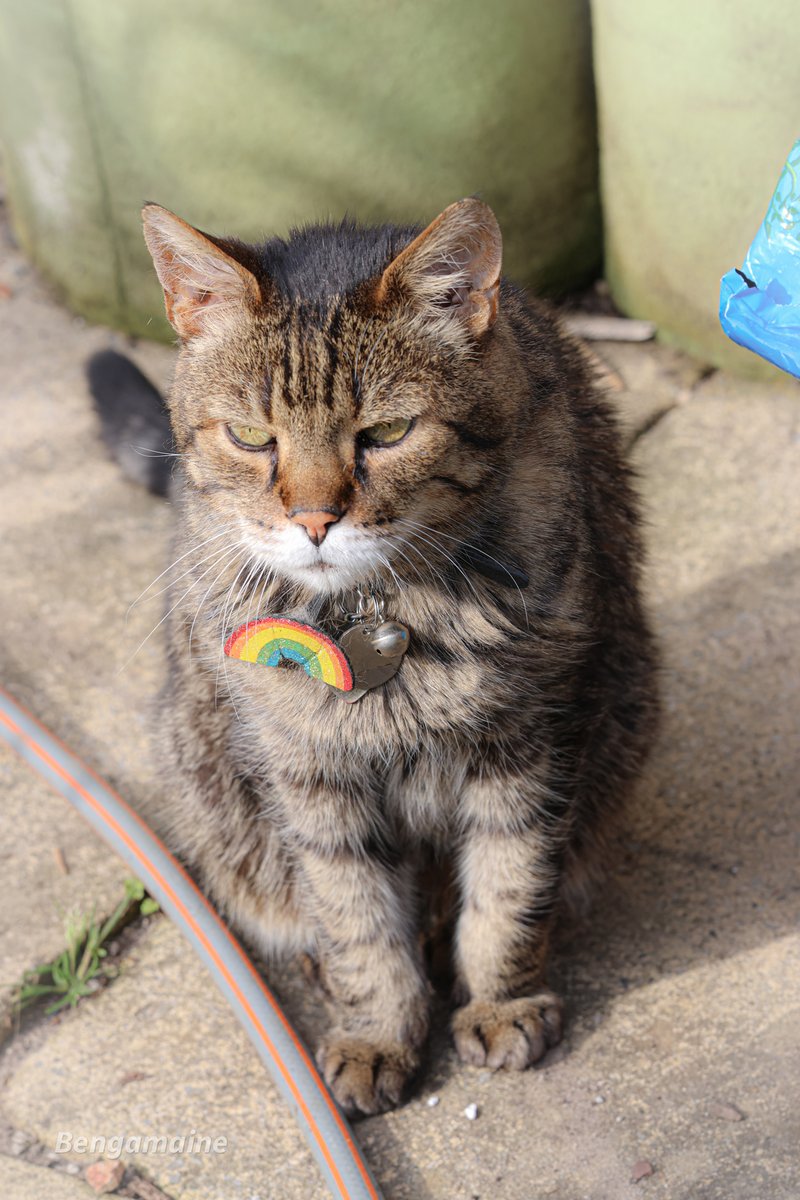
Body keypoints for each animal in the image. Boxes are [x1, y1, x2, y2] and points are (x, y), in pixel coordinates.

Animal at [90, 196, 662, 1113]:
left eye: (388, 432)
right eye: (252, 437)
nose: (314, 518)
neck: (382, 619)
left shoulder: (534, 740)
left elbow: (510, 889)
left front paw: (500, 999)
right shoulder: (308, 775)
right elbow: (355, 915)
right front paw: (377, 1031)